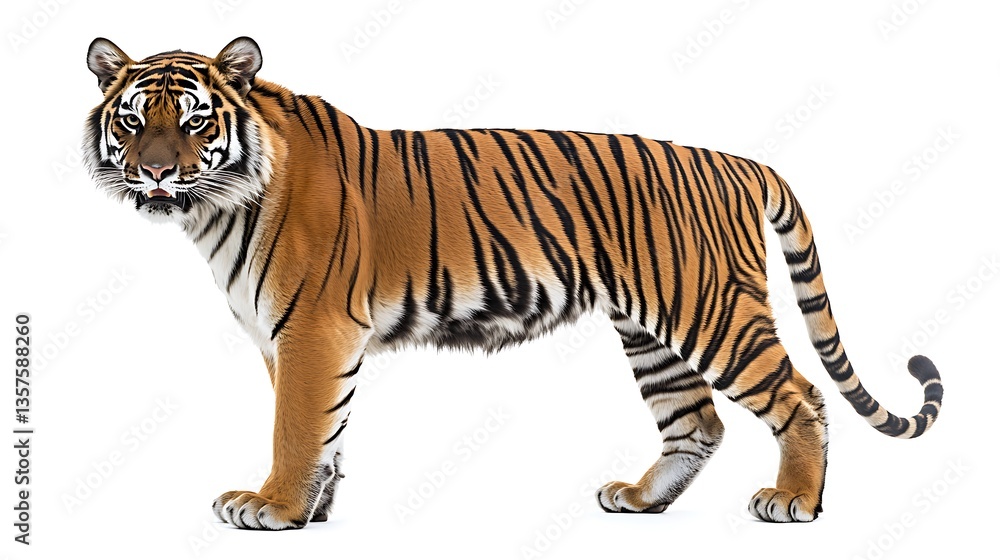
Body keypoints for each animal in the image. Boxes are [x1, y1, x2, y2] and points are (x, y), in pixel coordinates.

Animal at [84, 36, 943, 530]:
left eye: (195, 121)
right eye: (132, 120)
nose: (154, 172)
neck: (217, 208)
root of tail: (738, 161)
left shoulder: (311, 332)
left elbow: (296, 428)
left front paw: (273, 507)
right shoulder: (288, 339)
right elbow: (327, 430)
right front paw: (314, 510)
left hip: (711, 311)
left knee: (800, 397)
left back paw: (795, 501)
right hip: (651, 332)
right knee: (696, 421)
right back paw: (641, 501)